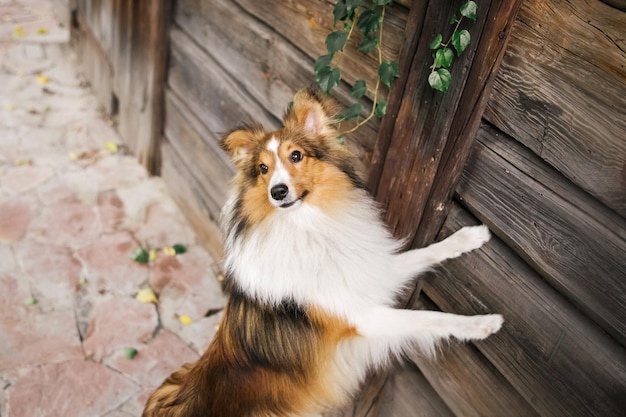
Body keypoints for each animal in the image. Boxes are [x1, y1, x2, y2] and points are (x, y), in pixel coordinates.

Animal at [143, 89, 502, 414]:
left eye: (296, 156)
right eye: (262, 168)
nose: (278, 192)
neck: (309, 228)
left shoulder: (370, 269)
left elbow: (424, 253)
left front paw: (471, 236)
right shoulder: (359, 318)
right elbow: (428, 318)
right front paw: (483, 325)